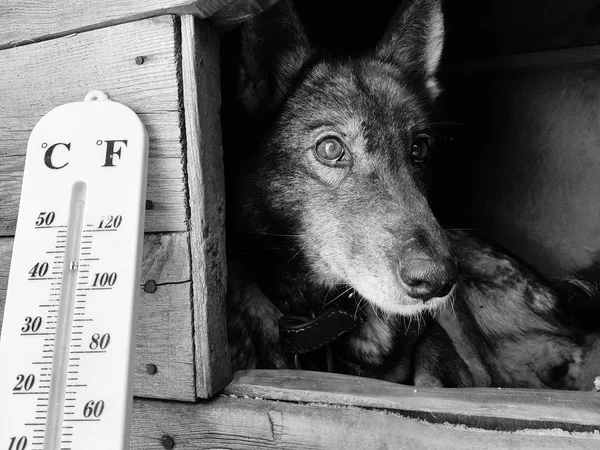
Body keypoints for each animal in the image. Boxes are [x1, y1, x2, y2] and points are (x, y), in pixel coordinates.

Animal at [225, 0, 600, 388]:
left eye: (419, 149)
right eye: (330, 148)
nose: (438, 281)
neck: (324, 324)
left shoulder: (436, 338)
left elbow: (432, 378)